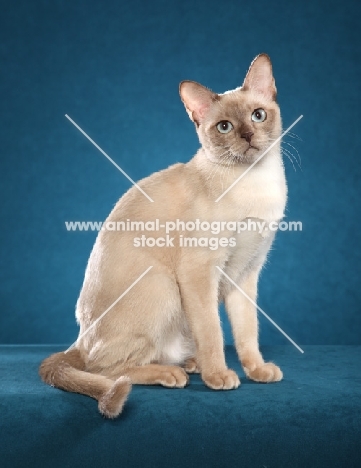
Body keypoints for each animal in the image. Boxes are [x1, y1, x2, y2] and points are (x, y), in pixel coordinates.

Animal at [40, 54, 286, 416]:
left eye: (258, 115)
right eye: (224, 127)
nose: (247, 135)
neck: (254, 182)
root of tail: (79, 341)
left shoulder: (245, 273)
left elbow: (247, 332)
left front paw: (256, 371)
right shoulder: (200, 271)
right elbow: (213, 331)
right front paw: (219, 377)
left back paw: (189, 364)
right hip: (164, 284)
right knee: (105, 369)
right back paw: (173, 374)